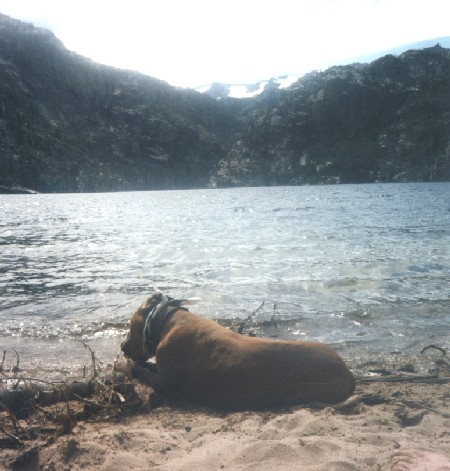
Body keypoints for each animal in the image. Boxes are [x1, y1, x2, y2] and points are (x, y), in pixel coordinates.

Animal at [121, 294, 356, 412]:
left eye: (131, 327)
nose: (122, 346)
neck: (165, 321)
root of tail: (348, 373)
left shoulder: (168, 385)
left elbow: (140, 369)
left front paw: (129, 367)